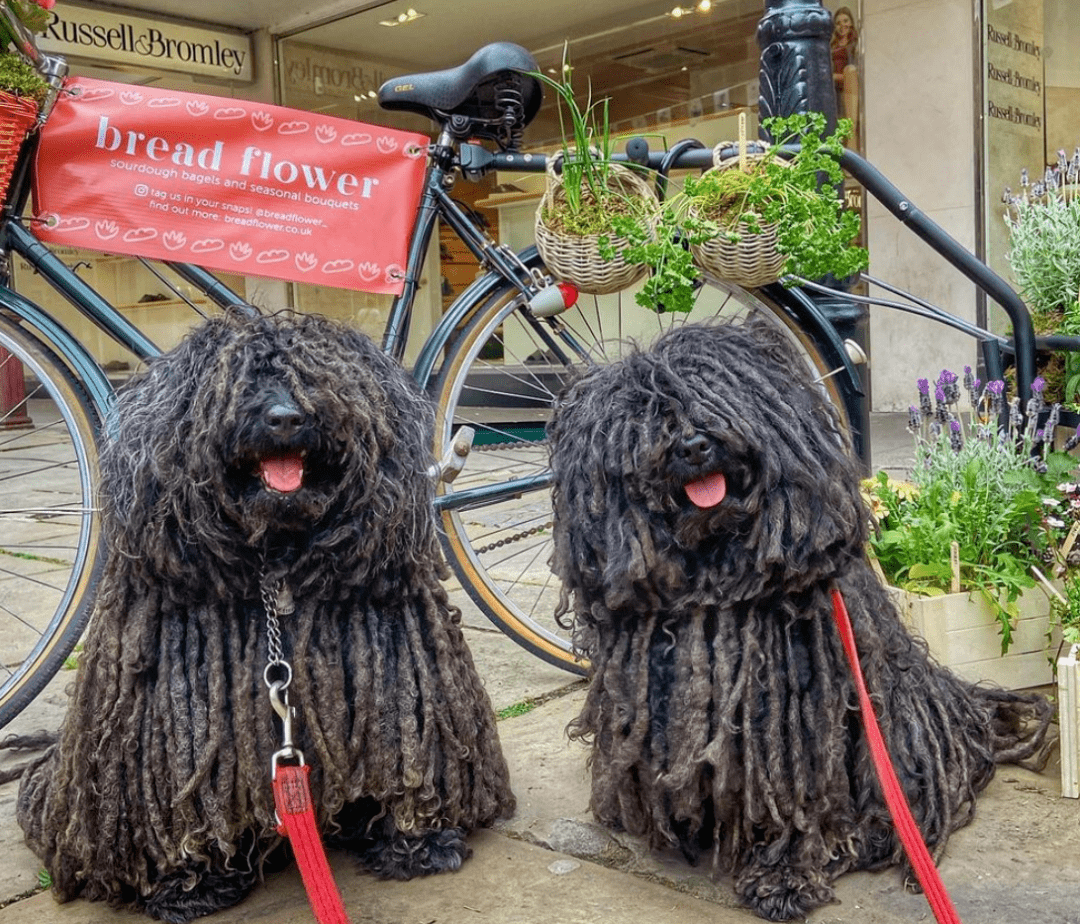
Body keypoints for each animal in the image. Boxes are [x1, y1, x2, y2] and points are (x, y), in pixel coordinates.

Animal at [16, 313, 514, 924]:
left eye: (322, 376)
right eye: (234, 383)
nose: (285, 417)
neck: (277, 555)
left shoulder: (405, 678)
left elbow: (410, 755)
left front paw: (416, 839)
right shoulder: (168, 723)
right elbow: (176, 800)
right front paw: (188, 882)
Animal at [548, 321, 1045, 919]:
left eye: (721, 394)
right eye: (645, 416)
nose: (693, 445)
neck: (715, 571)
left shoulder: (794, 732)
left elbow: (795, 801)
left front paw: (783, 878)